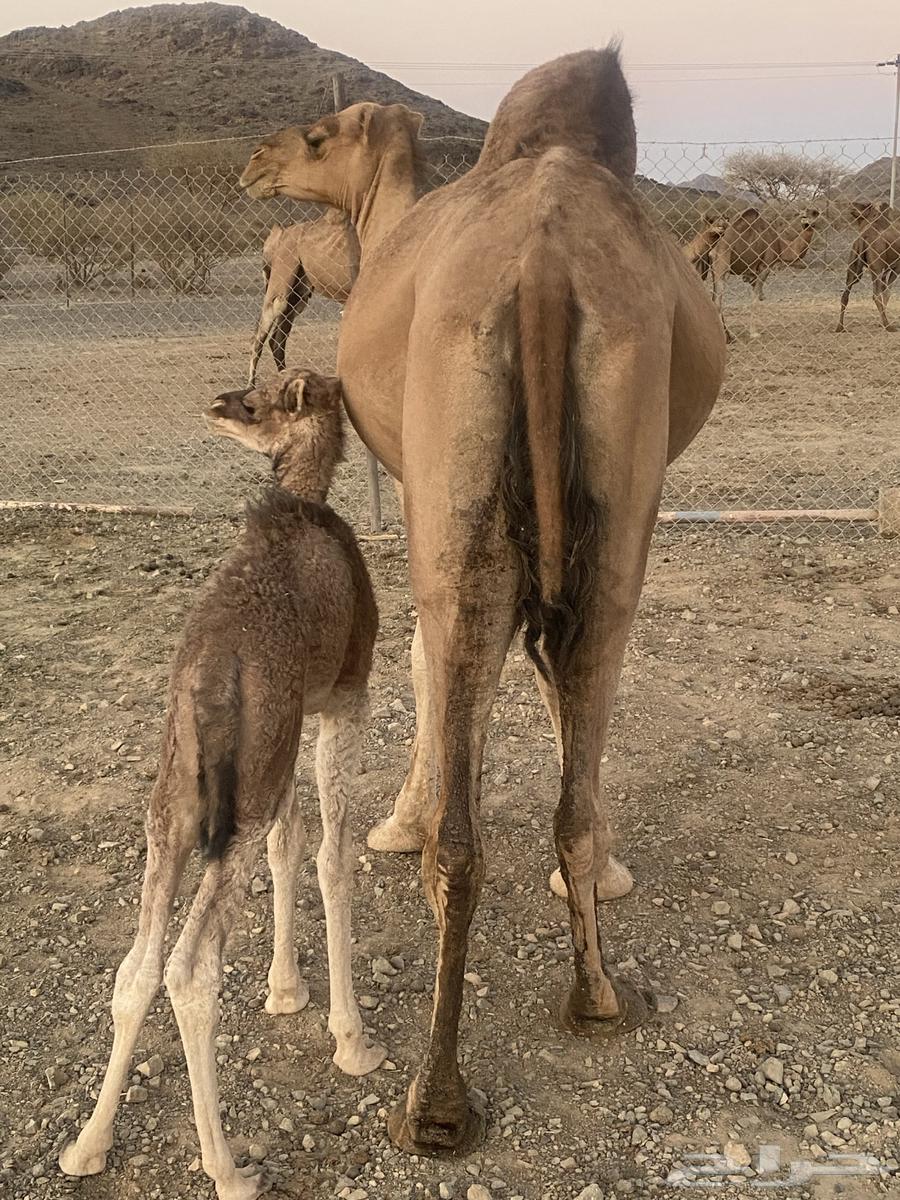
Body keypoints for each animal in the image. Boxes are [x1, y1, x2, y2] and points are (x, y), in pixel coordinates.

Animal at [59, 369, 385, 1200]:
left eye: (257, 397)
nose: (217, 404)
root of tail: (207, 682)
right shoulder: (344, 696)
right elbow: (331, 855)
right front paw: (351, 1040)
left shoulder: (284, 737)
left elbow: (290, 846)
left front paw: (284, 989)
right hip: (234, 804)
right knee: (190, 966)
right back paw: (229, 1167)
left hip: (178, 804)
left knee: (138, 965)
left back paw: (87, 1146)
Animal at [249, 210, 359, 385]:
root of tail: (277, 236)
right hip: (280, 286)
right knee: (259, 338)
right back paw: (250, 386)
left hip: (298, 295)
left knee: (276, 340)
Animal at [710, 205, 820, 339]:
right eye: (806, 213)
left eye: (815, 213)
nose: (805, 218)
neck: (780, 245)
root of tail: (714, 248)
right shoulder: (765, 266)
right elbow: (755, 301)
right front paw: (754, 333)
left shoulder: (753, 273)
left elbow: (756, 295)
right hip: (722, 265)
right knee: (717, 301)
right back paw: (726, 337)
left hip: (714, 269)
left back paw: (729, 336)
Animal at [835, 201, 900, 333]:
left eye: (863, 205)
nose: (851, 206)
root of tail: (863, 237)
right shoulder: (896, 267)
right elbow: (887, 292)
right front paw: (882, 323)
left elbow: (885, 291)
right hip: (876, 268)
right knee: (876, 295)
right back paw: (889, 326)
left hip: (854, 267)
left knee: (845, 295)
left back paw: (840, 327)